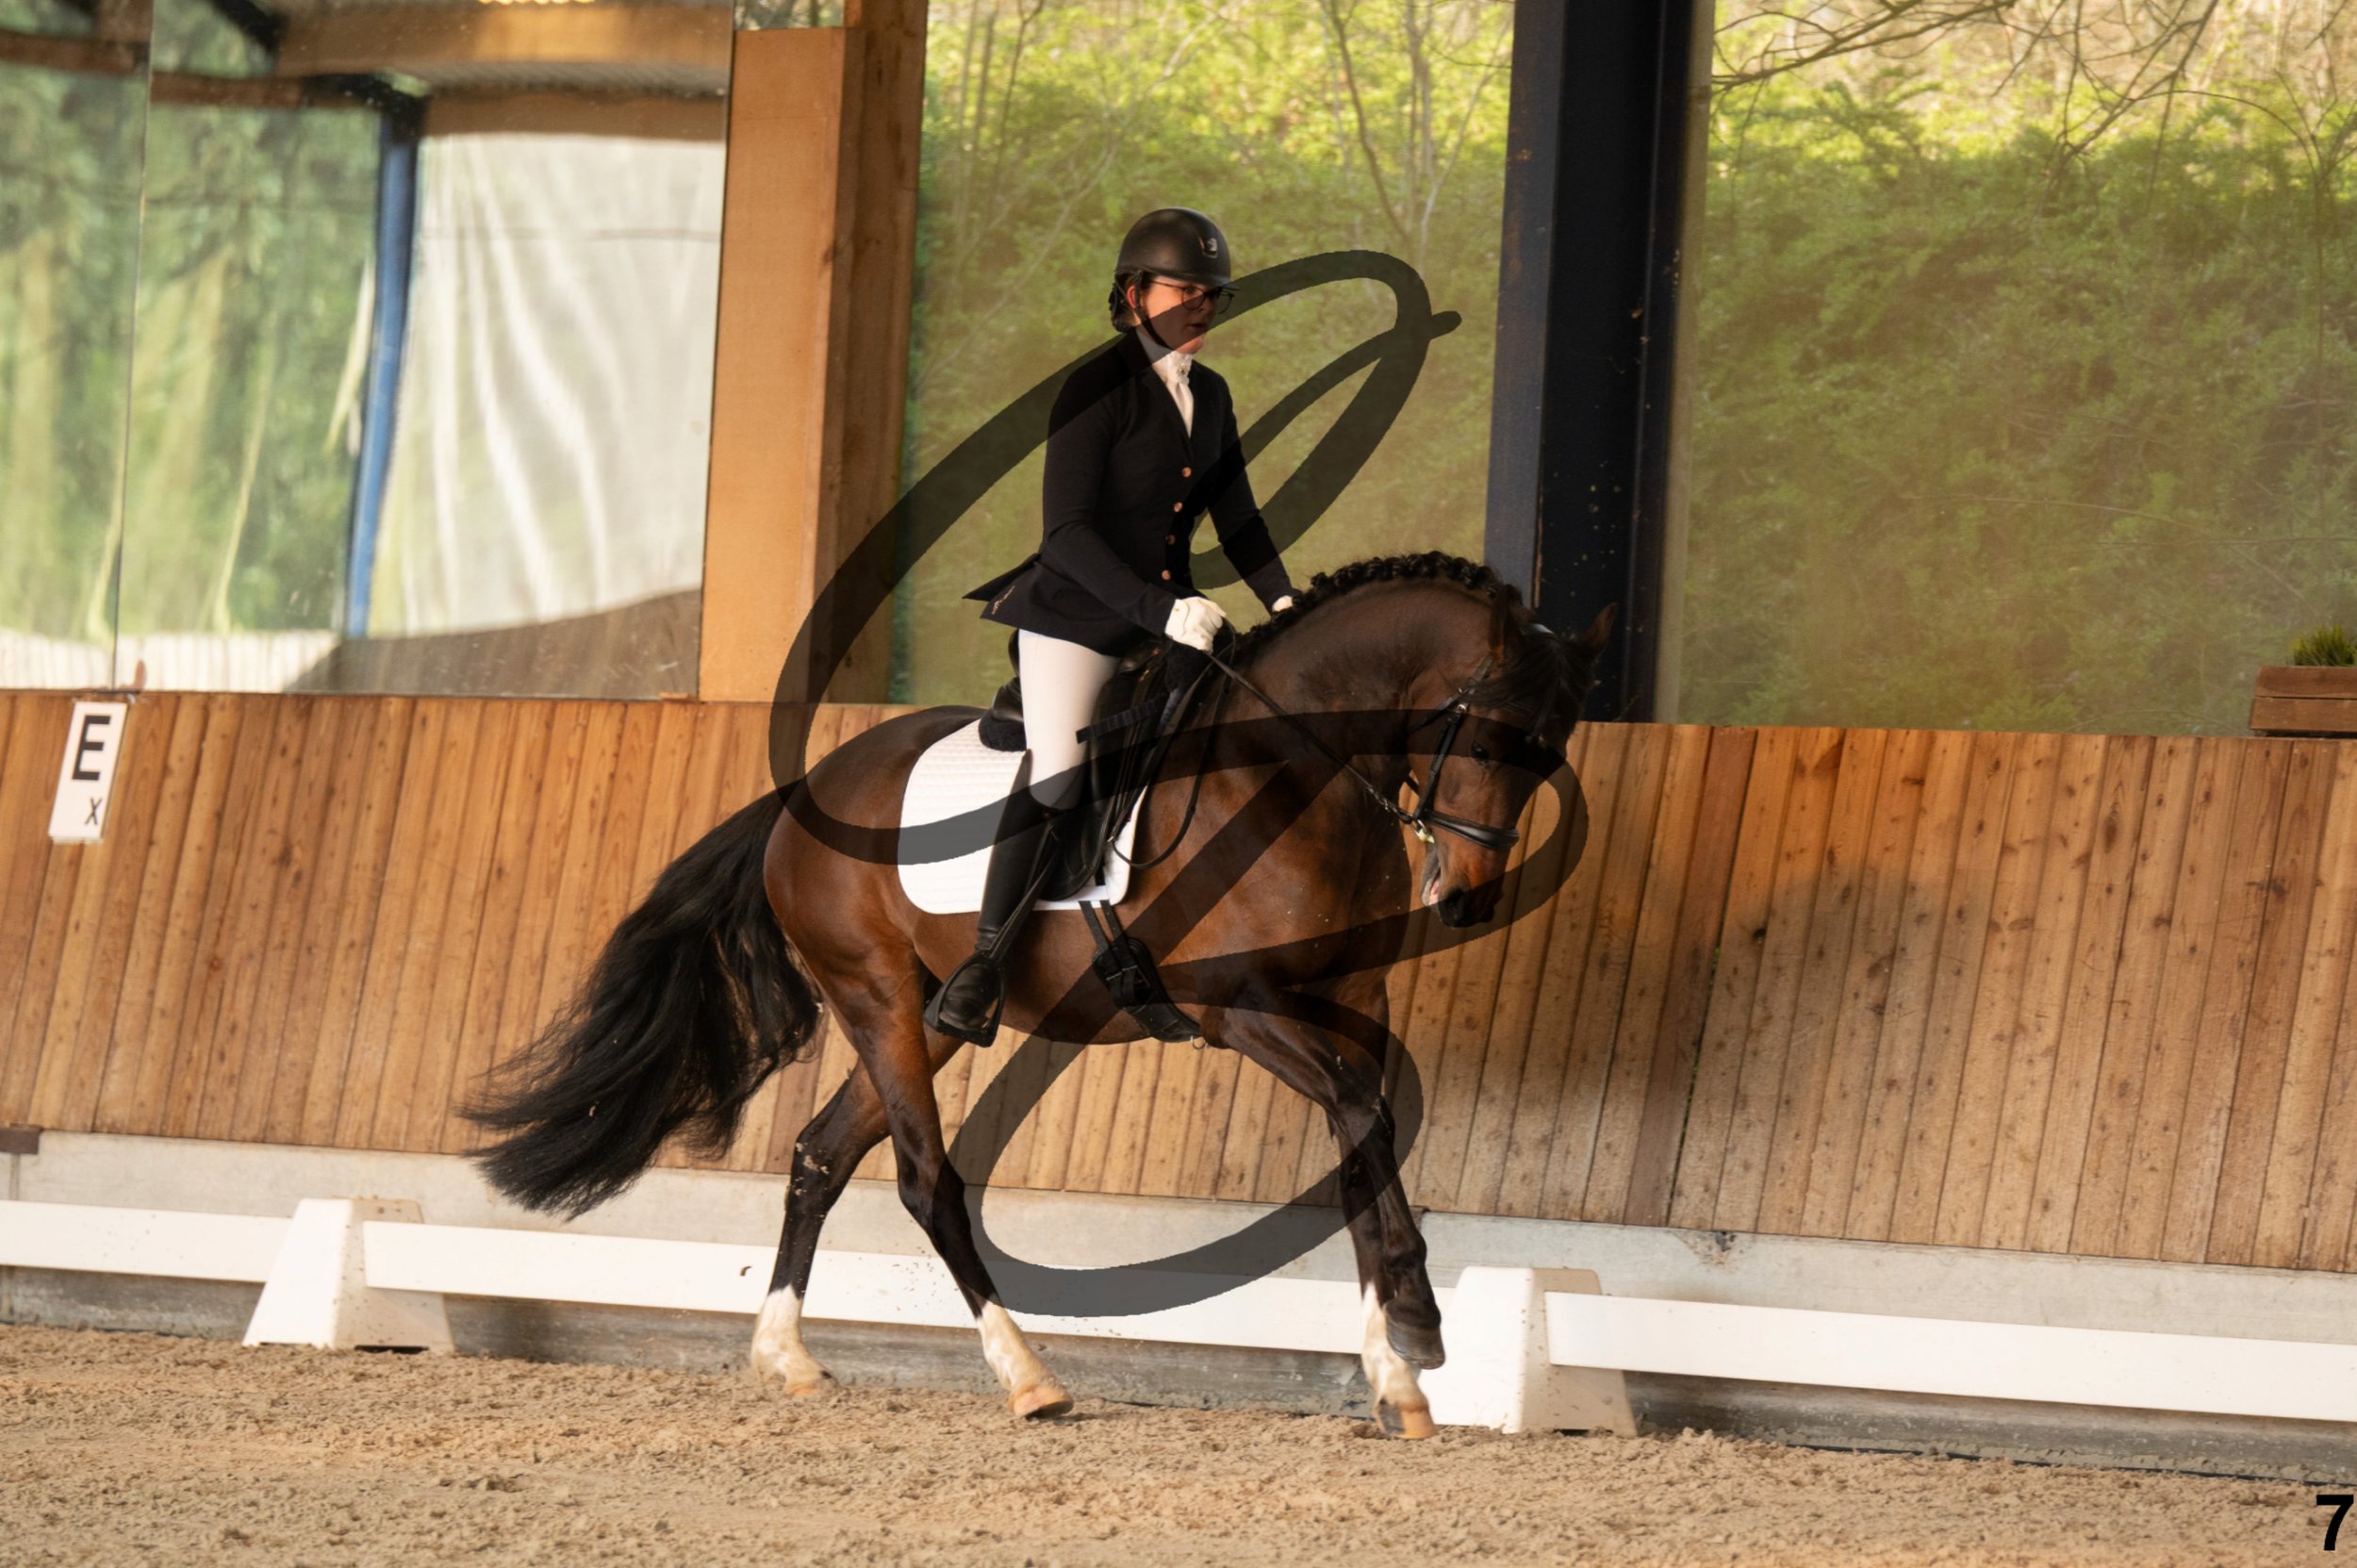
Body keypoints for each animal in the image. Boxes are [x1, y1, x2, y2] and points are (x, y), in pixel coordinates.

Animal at [467, 551, 1609, 1439]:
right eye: (1493, 736)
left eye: (1552, 748)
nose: (1467, 897)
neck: (1292, 769)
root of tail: (802, 796)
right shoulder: (1241, 1009)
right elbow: (1363, 1120)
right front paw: (1415, 1322)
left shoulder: (1350, 999)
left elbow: (1364, 1142)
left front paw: (1396, 1369)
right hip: (876, 995)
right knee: (925, 1180)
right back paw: (1029, 1377)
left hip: (923, 1017)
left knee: (820, 1155)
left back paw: (786, 1355)